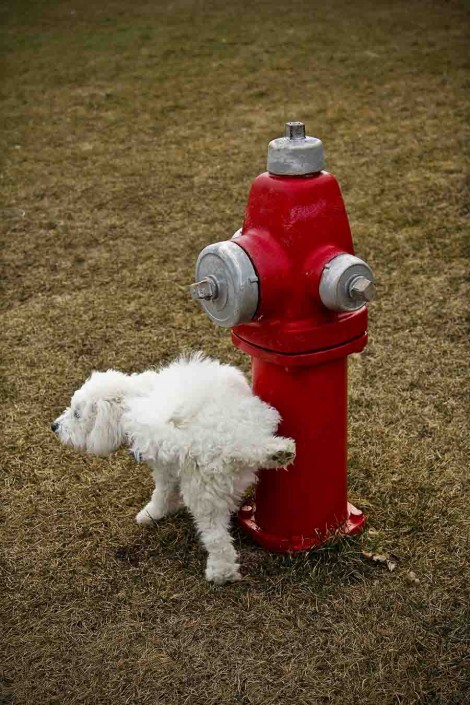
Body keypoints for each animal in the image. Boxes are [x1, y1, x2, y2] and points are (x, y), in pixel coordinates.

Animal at [51, 352, 294, 584]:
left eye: (77, 414)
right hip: (253, 427)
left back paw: (220, 572)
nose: (54, 426)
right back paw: (280, 452)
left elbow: (162, 493)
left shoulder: (164, 468)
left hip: (202, 493)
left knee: (217, 537)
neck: (134, 396)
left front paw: (151, 513)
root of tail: (233, 443)